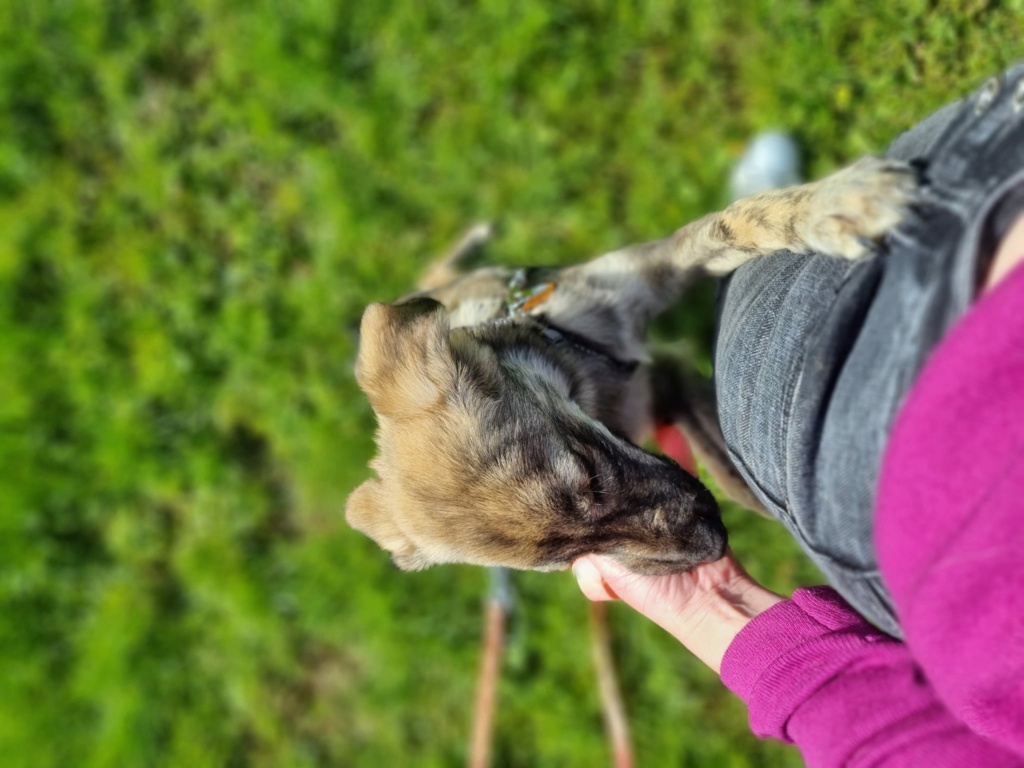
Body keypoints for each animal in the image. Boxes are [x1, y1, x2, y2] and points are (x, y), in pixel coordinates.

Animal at [348, 159, 917, 573]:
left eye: (591, 475)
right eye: (567, 561)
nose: (714, 546)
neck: (582, 370)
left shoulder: (660, 308)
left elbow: (734, 221)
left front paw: (839, 204)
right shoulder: (670, 389)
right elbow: (733, 474)